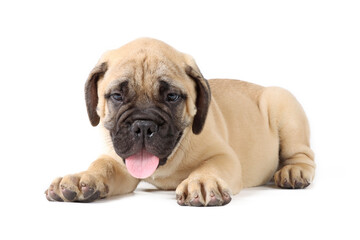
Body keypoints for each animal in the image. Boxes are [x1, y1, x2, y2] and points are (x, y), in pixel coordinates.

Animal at [45, 37, 316, 206]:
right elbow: (102, 166)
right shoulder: (119, 164)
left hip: (284, 107)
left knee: (302, 155)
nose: (143, 125)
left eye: (172, 97)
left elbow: (210, 167)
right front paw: (81, 178)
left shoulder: (223, 156)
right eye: (117, 96)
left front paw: (202, 182)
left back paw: (293, 171)